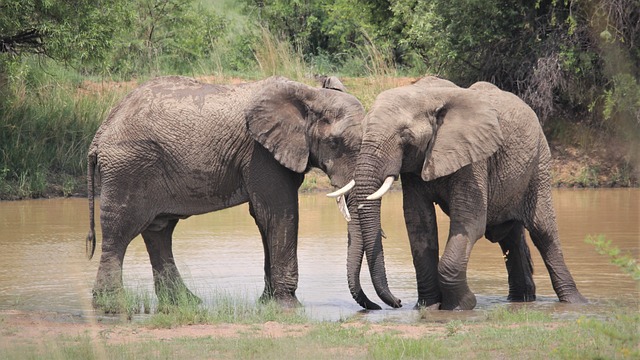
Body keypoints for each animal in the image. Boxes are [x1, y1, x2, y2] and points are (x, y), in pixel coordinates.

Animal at [85, 74, 368, 308]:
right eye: (335, 143)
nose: (374, 305)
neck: (309, 93)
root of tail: (100, 133)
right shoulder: (260, 154)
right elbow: (278, 212)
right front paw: (289, 306)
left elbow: (263, 218)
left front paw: (267, 303)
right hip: (127, 168)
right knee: (119, 231)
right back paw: (111, 304)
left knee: (159, 231)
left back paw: (185, 302)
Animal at [348, 76, 588, 310]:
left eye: (405, 136)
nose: (396, 302)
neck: (427, 93)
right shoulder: (416, 167)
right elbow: (419, 225)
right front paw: (427, 307)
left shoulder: (474, 159)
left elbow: (470, 222)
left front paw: (461, 306)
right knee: (511, 237)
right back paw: (522, 300)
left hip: (539, 163)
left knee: (543, 232)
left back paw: (575, 302)